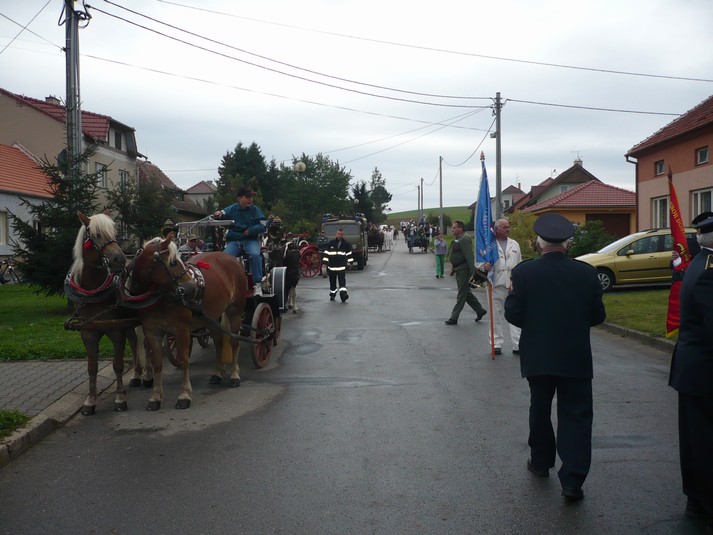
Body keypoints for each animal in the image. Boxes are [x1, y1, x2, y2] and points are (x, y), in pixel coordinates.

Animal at [64, 211, 141, 416]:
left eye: (114, 232)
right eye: (96, 235)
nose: (119, 259)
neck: (94, 291)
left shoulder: (116, 332)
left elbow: (118, 364)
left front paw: (120, 398)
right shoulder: (88, 333)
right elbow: (92, 367)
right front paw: (90, 401)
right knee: (135, 343)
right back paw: (137, 375)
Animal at [125, 233, 250, 410]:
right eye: (173, 262)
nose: (193, 288)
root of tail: (231, 258)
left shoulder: (181, 329)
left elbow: (184, 361)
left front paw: (184, 395)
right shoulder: (151, 331)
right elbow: (157, 363)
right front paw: (155, 397)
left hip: (235, 311)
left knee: (234, 342)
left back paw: (234, 375)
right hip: (210, 317)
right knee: (219, 342)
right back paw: (217, 373)